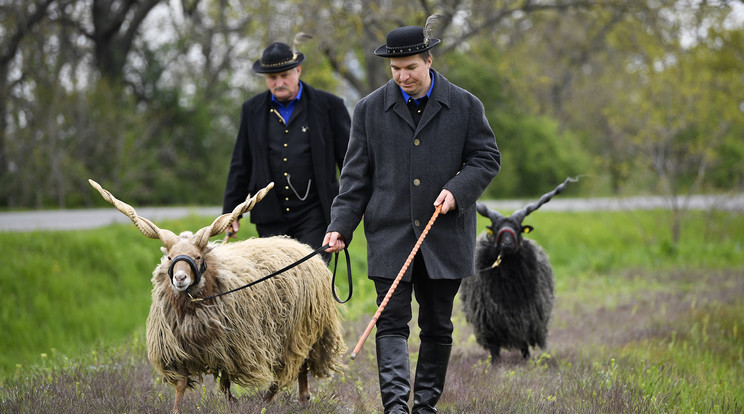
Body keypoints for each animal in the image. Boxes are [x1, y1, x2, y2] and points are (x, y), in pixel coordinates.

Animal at [86, 180, 346, 414]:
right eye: (169, 258)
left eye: (198, 257)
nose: (180, 278)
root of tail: (301, 247)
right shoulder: (181, 349)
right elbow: (185, 384)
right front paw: (177, 410)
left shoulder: (232, 347)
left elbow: (225, 383)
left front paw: (234, 405)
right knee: (299, 365)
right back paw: (298, 399)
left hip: (297, 331)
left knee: (293, 367)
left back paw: (274, 401)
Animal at [460, 176, 576, 360]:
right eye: (497, 228)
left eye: (517, 228)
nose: (507, 243)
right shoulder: (490, 322)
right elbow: (494, 349)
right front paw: (495, 364)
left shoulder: (525, 319)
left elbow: (524, 346)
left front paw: (526, 361)